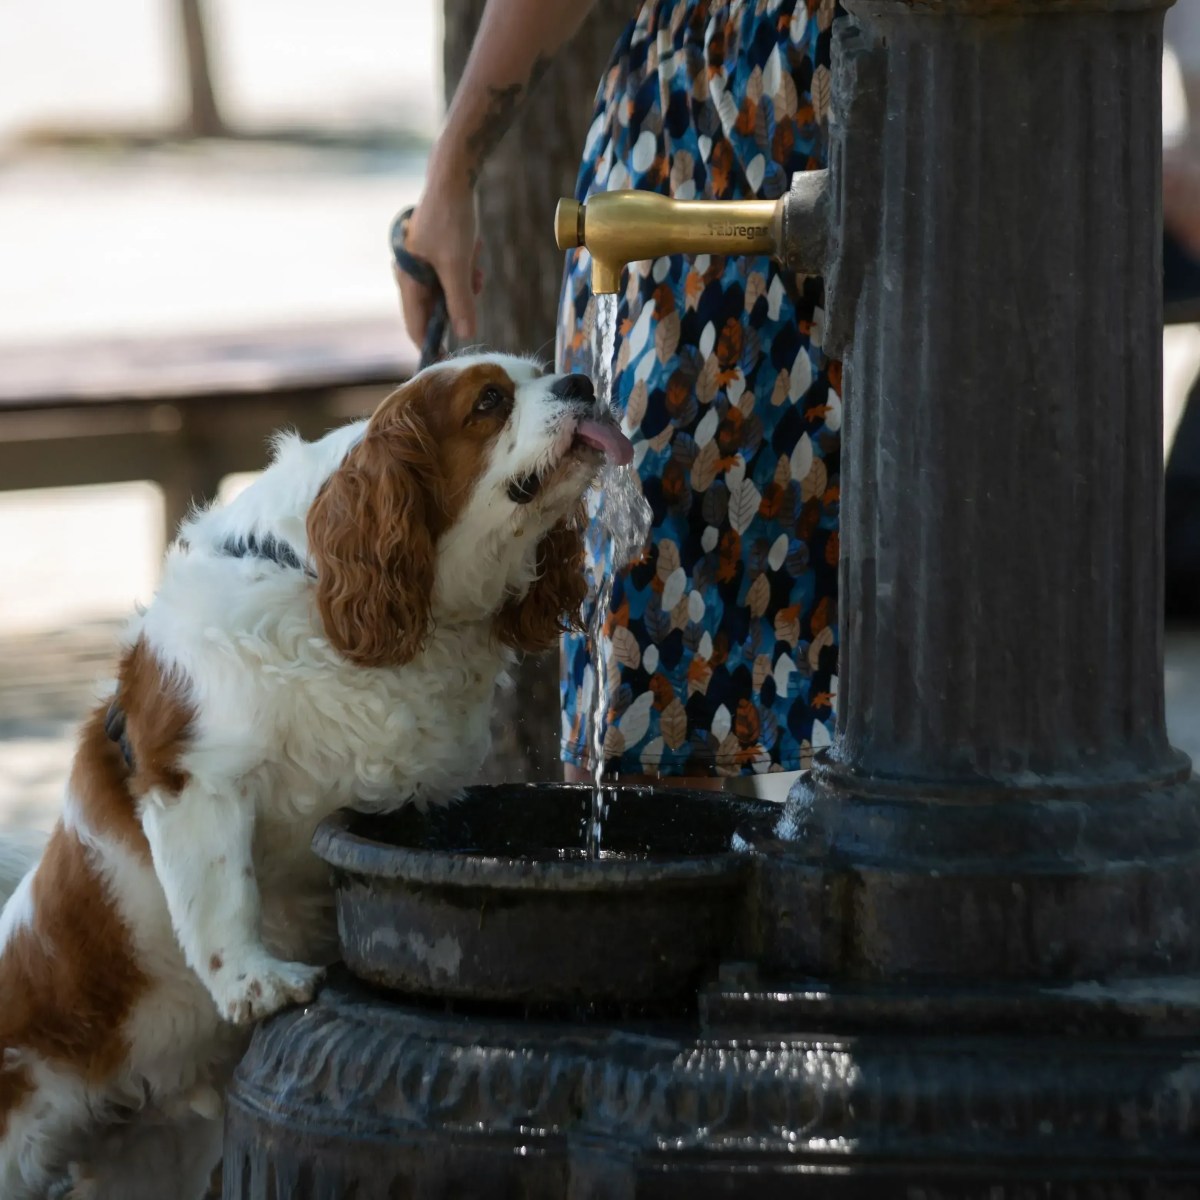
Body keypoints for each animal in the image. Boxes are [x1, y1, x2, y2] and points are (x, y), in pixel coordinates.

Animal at [0, 355, 633, 1200]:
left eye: (541, 373)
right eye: (490, 402)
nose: (581, 380)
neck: (321, 584)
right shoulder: (196, 777)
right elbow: (224, 893)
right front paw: (254, 983)